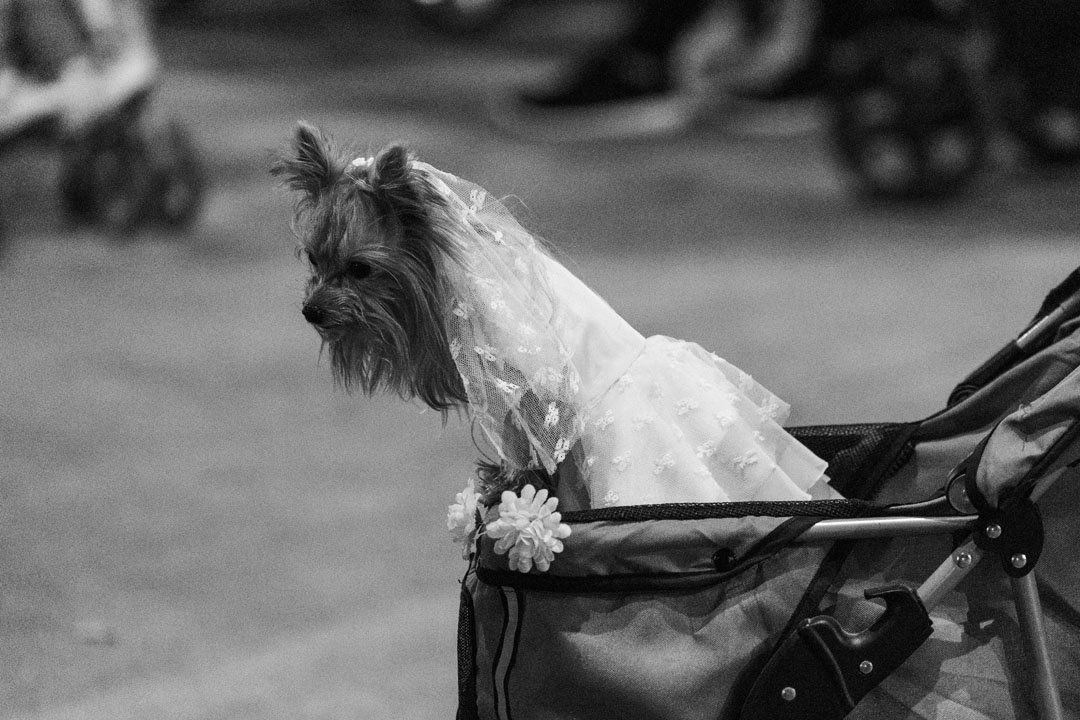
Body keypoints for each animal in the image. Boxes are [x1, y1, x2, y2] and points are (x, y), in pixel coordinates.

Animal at [276, 124, 825, 515]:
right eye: (314, 260)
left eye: (361, 268)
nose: (311, 310)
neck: (444, 277)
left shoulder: (525, 394)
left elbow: (531, 455)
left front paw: (508, 489)